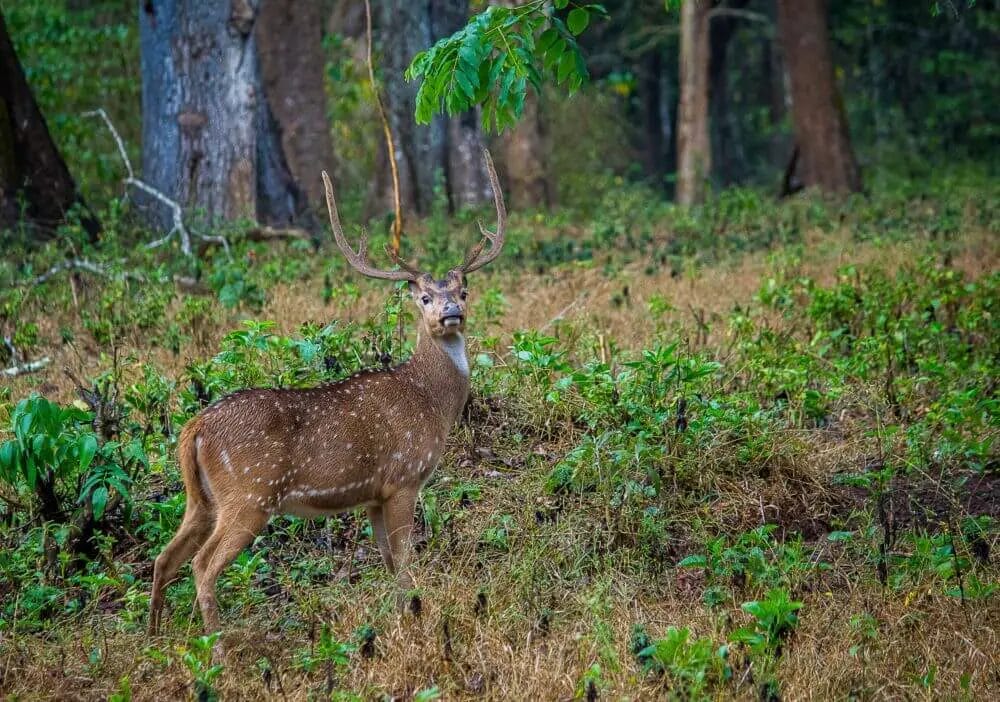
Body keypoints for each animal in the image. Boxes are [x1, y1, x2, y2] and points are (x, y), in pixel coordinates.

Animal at [146, 151, 508, 640]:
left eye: (463, 291)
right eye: (425, 298)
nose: (452, 312)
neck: (430, 401)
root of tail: (193, 429)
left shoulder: (373, 493)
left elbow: (389, 561)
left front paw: (401, 618)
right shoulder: (403, 477)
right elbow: (404, 561)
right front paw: (415, 620)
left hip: (200, 499)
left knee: (164, 557)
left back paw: (154, 638)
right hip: (249, 493)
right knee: (203, 565)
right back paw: (219, 646)